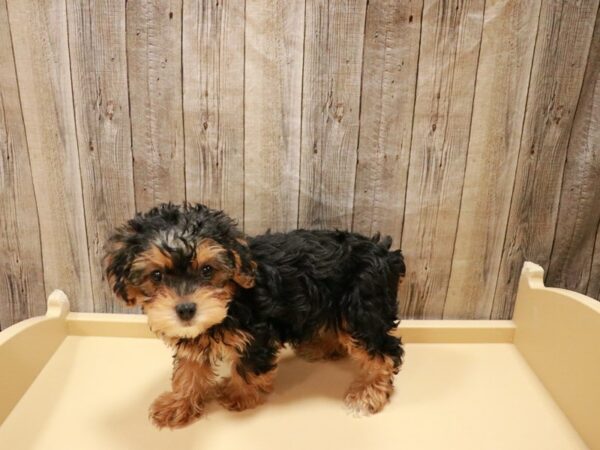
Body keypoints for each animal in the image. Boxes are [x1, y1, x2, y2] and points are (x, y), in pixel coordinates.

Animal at [105, 204, 406, 428]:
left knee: (384, 351)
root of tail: (386, 254)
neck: (232, 299)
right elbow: (189, 369)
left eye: (207, 270)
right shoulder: (193, 333)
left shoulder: (258, 333)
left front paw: (238, 395)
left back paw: (368, 394)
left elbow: (247, 367)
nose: (186, 309)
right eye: (157, 276)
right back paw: (321, 348)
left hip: (363, 308)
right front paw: (179, 403)